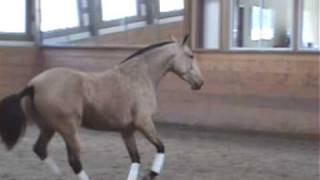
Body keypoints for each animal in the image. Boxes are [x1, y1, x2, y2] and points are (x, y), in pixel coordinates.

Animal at [0, 34, 204, 179]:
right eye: (191, 55)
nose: (200, 83)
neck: (140, 75)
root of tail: (33, 85)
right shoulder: (143, 123)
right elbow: (161, 147)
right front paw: (151, 174)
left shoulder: (127, 130)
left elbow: (135, 158)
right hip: (68, 129)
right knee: (74, 161)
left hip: (49, 127)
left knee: (40, 149)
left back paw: (57, 174)